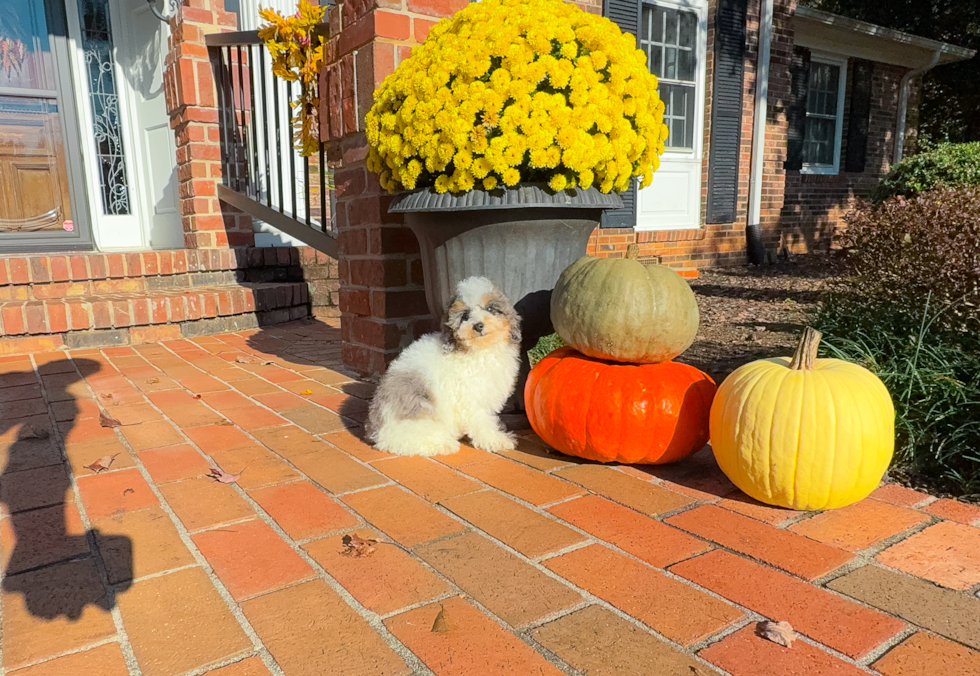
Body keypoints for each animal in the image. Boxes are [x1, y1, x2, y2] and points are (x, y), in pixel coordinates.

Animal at [366, 278, 520, 456]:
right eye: (465, 316)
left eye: (490, 309)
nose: (478, 326)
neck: (479, 350)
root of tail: (377, 432)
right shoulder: (471, 398)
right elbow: (482, 421)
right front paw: (495, 439)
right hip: (421, 410)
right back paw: (442, 443)